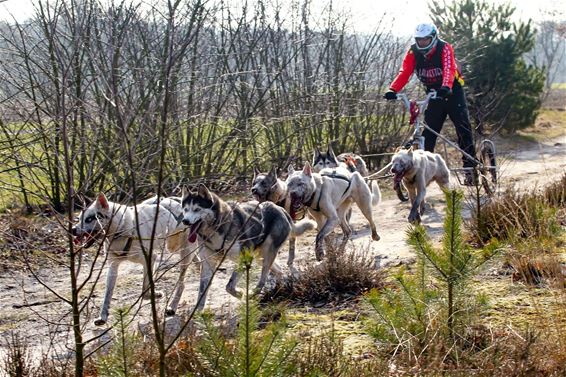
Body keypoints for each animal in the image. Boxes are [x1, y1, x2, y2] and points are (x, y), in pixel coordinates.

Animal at [71, 192, 195, 324]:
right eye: (79, 219)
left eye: (89, 219)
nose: (73, 230)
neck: (123, 228)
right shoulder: (113, 267)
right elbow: (107, 295)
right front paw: (103, 316)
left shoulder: (150, 259)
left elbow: (145, 289)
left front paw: (154, 294)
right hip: (176, 247)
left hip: (183, 253)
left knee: (181, 283)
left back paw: (173, 306)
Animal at [182, 184, 316, 310]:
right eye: (185, 209)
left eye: (197, 209)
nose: (185, 221)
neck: (218, 227)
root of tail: (280, 209)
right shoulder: (207, 265)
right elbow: (201, 292)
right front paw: (197, 313)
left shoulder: (244, 258)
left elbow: (229, 286)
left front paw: (240, 294)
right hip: (260, 256)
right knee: (279, 270)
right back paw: (278, 290)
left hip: (266, 255)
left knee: (263, 279)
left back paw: (254, 294)